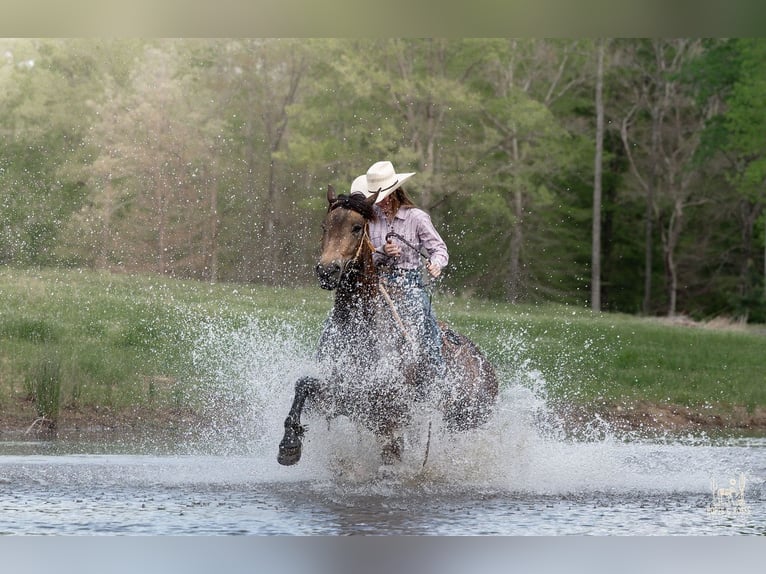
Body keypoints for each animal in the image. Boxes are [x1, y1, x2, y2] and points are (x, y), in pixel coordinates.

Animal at [277, 185, 498, 466]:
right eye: (324, 226)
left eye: (357, 227)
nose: (327, 271)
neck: (363, 331)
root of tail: (487, 368)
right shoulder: (341, 396)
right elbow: (303, 385)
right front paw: (289, 445)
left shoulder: (387, 411)